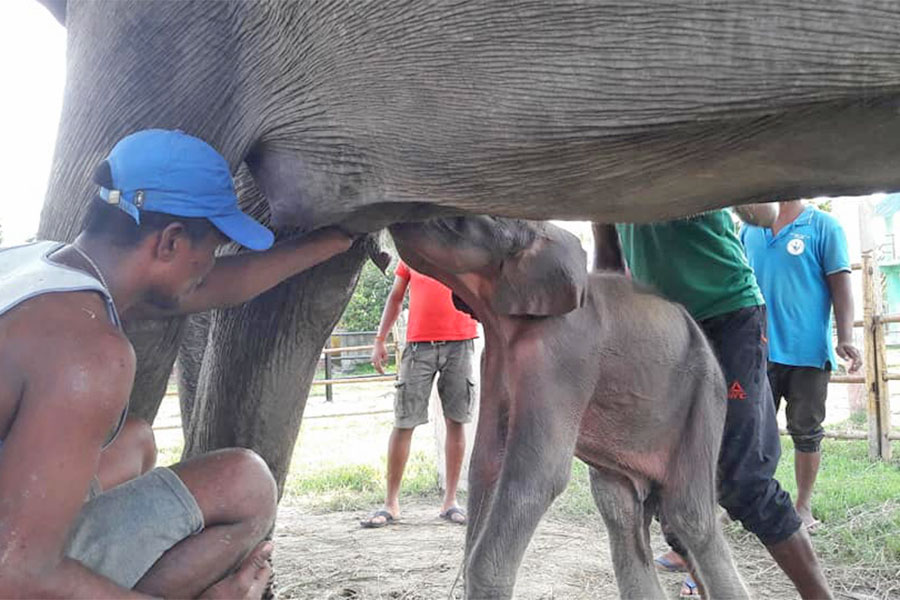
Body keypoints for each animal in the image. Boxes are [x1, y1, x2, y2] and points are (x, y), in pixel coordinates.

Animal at [390, 217, 748, 600]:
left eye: (474, 221)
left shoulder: (564, 357)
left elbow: (541, 475)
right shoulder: (495, 360)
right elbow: (486, 463)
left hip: (705, 396)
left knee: (689, 516)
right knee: (620, 511)